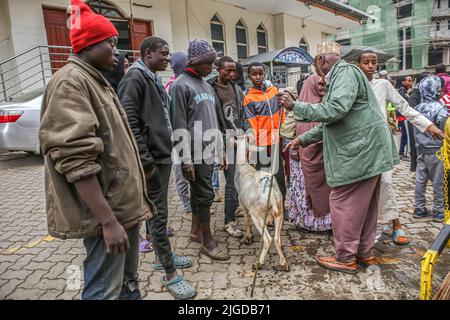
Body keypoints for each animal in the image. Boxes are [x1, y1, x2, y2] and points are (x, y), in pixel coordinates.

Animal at [234, 135, 290, 272]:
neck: (243, 165)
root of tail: (272, 196)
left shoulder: (242, 202)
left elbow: (246, 220)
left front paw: (248, 237)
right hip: (280, 211)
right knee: (277, 239)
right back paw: (284, 264)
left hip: (257, 215)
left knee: (268, 239)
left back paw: (258, 263)